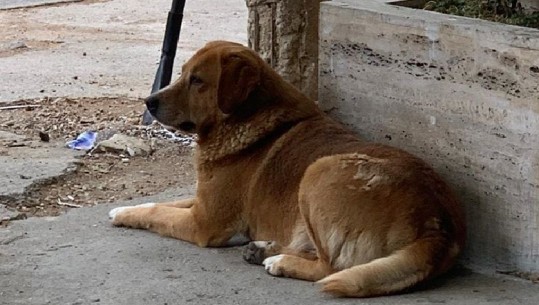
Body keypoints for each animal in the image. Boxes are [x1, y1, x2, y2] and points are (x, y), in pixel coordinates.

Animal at [107, 40, 466, 296]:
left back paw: (279, 261)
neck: (243, 117)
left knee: (330, 267)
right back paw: (264, 249)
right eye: (182, 73)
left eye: (197, 80)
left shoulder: (203, 222)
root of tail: (436, 222)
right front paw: (124, 210)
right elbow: (162, 203)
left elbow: (159, 213)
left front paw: (128, 214)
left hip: (318, 171)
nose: (148, 101)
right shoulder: (202, 202)